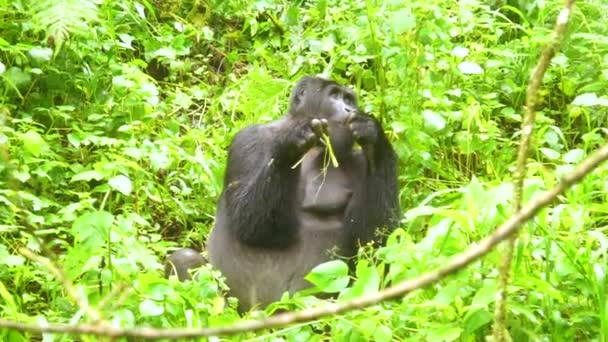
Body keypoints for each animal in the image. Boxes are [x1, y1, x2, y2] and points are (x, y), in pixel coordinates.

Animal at [165, 77, 400, 312]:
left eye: (349, 99)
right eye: (334, 95)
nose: (349, 109)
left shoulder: (358, 163)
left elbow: (373, 240)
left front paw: (374, 139)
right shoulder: (248, 139)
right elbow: (249, 222)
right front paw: (293, 144)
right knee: (185, 261)